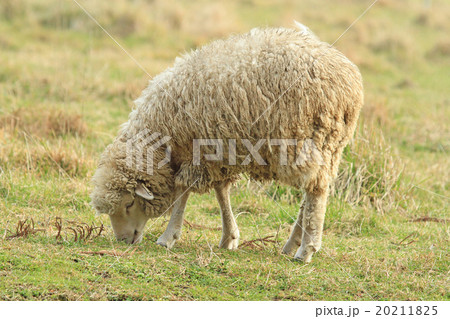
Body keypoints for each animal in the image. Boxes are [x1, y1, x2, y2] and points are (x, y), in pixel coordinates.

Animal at [89, 23, 364, 262]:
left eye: (128, 203)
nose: (123, 240)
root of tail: (348, 78)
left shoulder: (195, 150)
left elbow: (183, 191)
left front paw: (168, 237)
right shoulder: (218, 153)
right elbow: (221, 193)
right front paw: (229, 237)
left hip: (308, 140)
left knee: (316, 192)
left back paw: (306, 249)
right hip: (328, 144)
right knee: (312, 192)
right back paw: (292, 243)